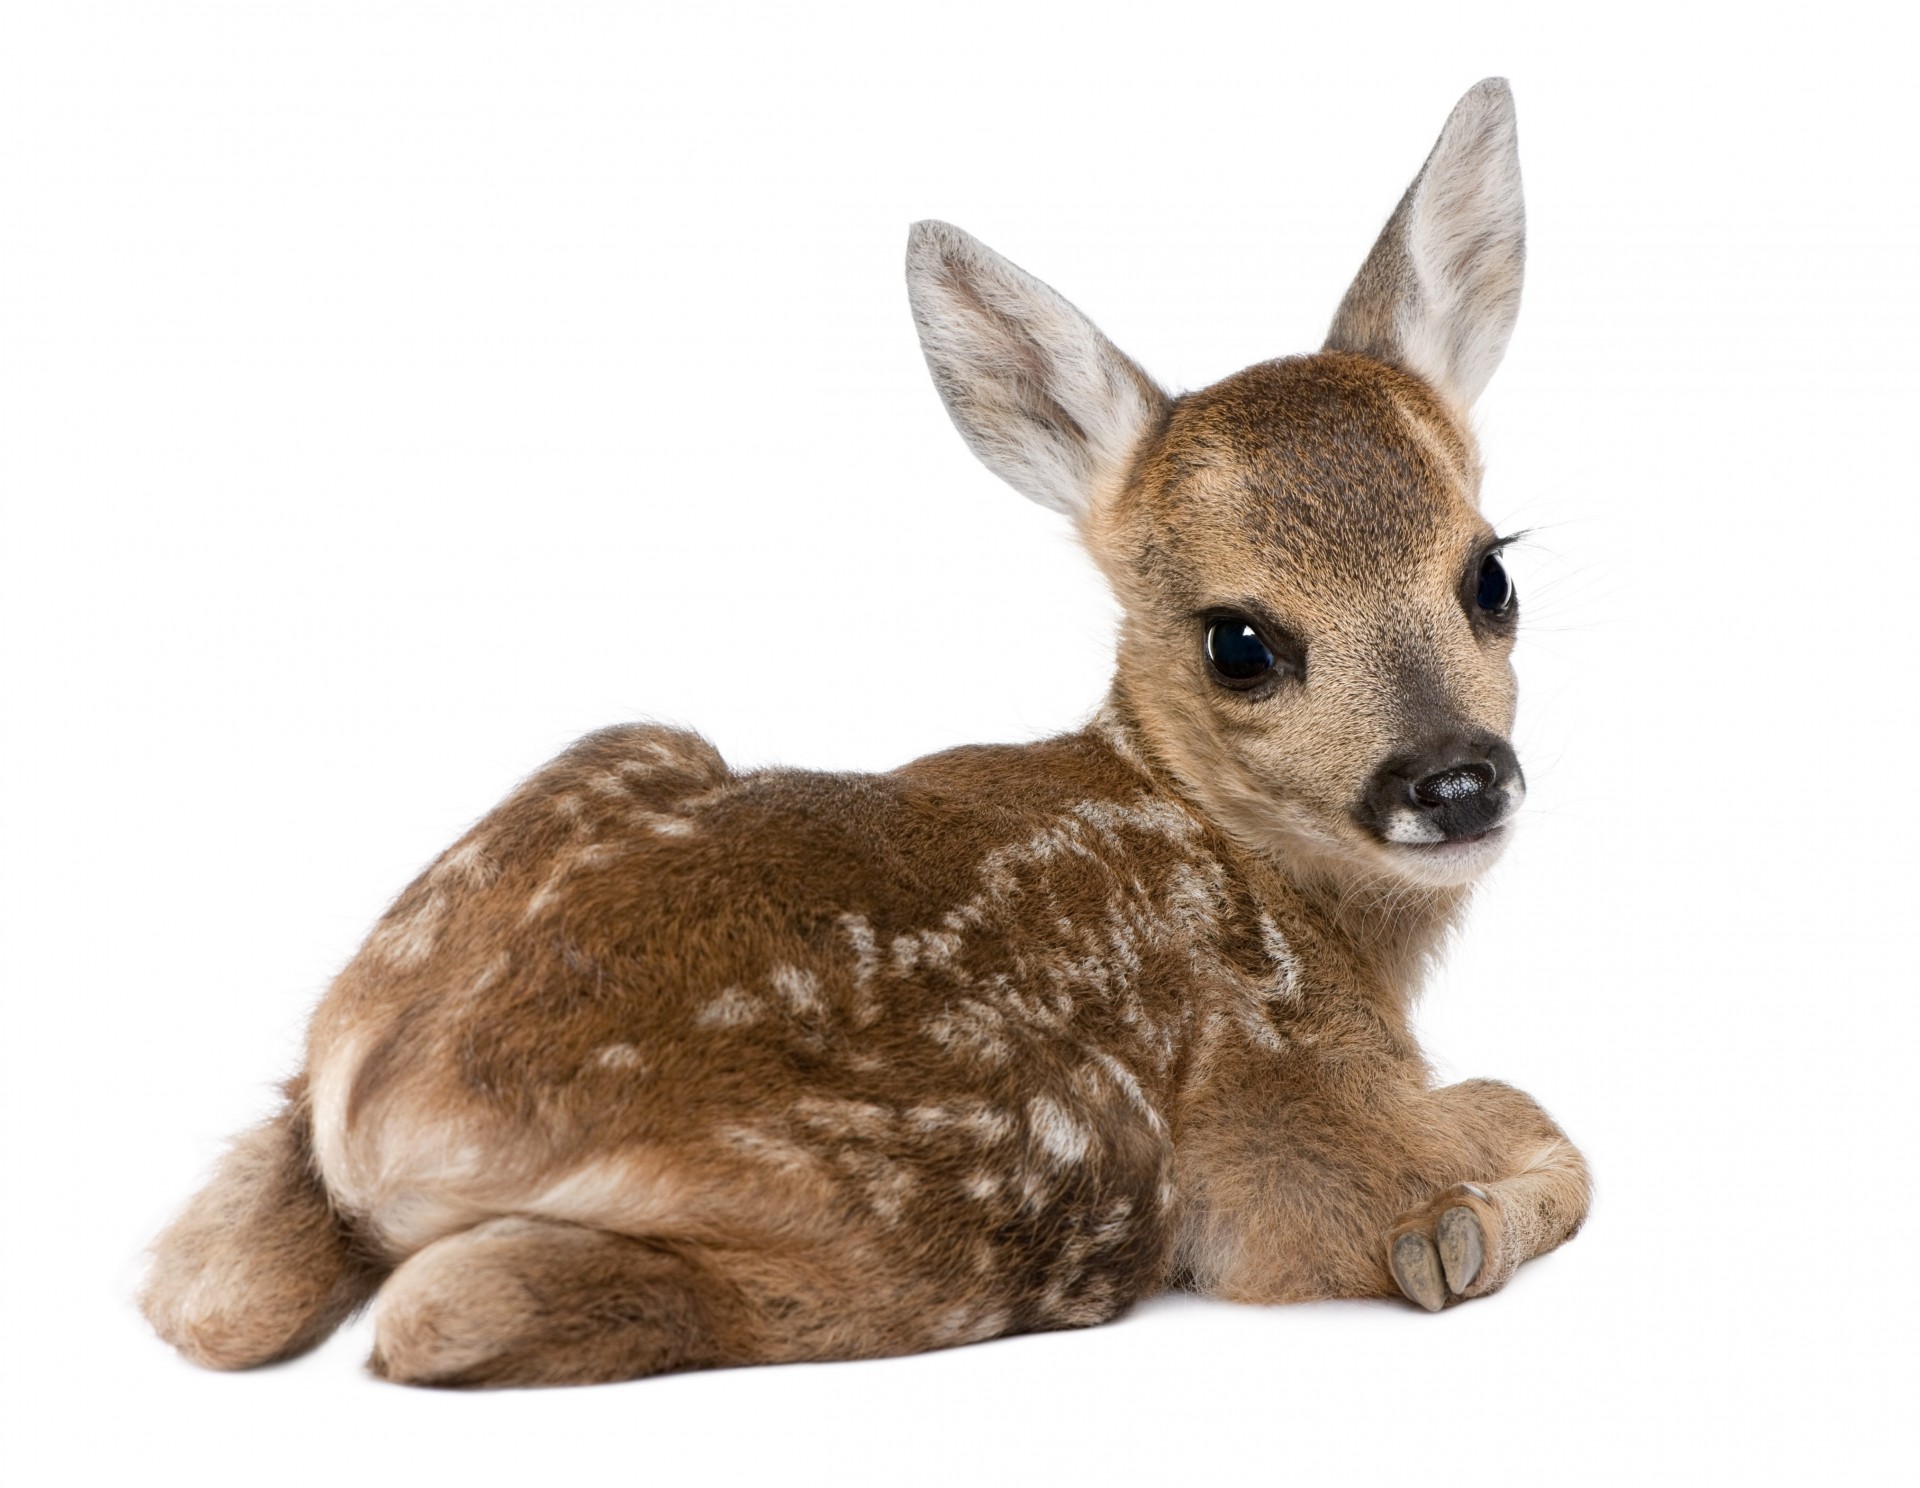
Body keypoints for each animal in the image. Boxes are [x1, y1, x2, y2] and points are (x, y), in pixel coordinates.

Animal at [140, 77, 1589, 1388]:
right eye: (1239, 641)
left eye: (1491, 575)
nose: (1455, 779)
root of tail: (391, 1111)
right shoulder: (1273, 1128)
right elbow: (1531, 1138)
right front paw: (1458, 1236)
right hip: (1015, 1178)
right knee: (447, 1306)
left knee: (203, 1294)